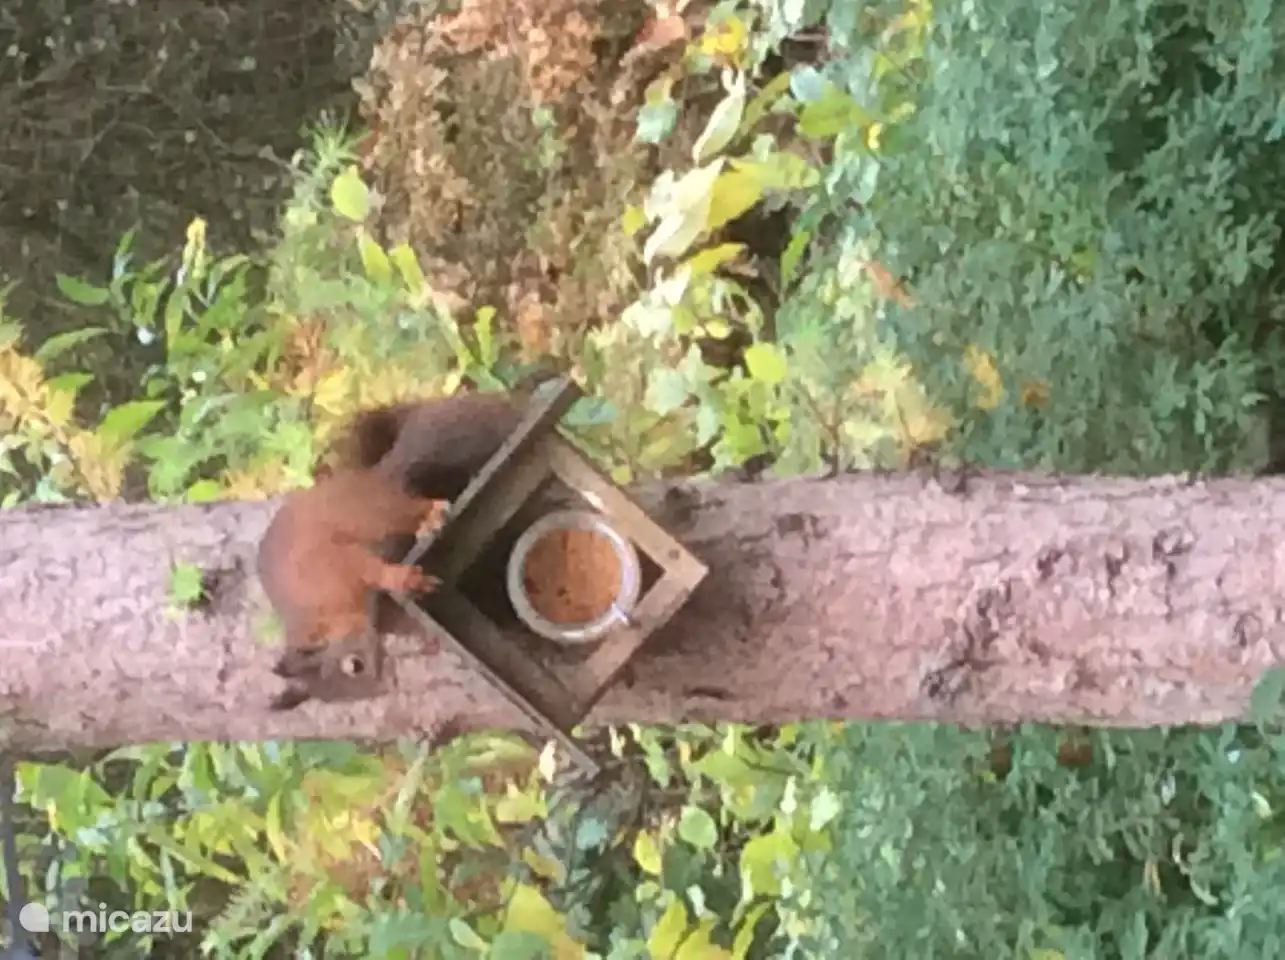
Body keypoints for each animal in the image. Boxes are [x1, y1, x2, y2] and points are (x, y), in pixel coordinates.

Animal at [258, 391, 525, 694]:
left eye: (355, 665)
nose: (384, 685)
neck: (325, 613)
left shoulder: (333, 565)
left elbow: (371, 570)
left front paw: (403, 579)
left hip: (365, 511)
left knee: (400, 508)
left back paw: (430, 515)